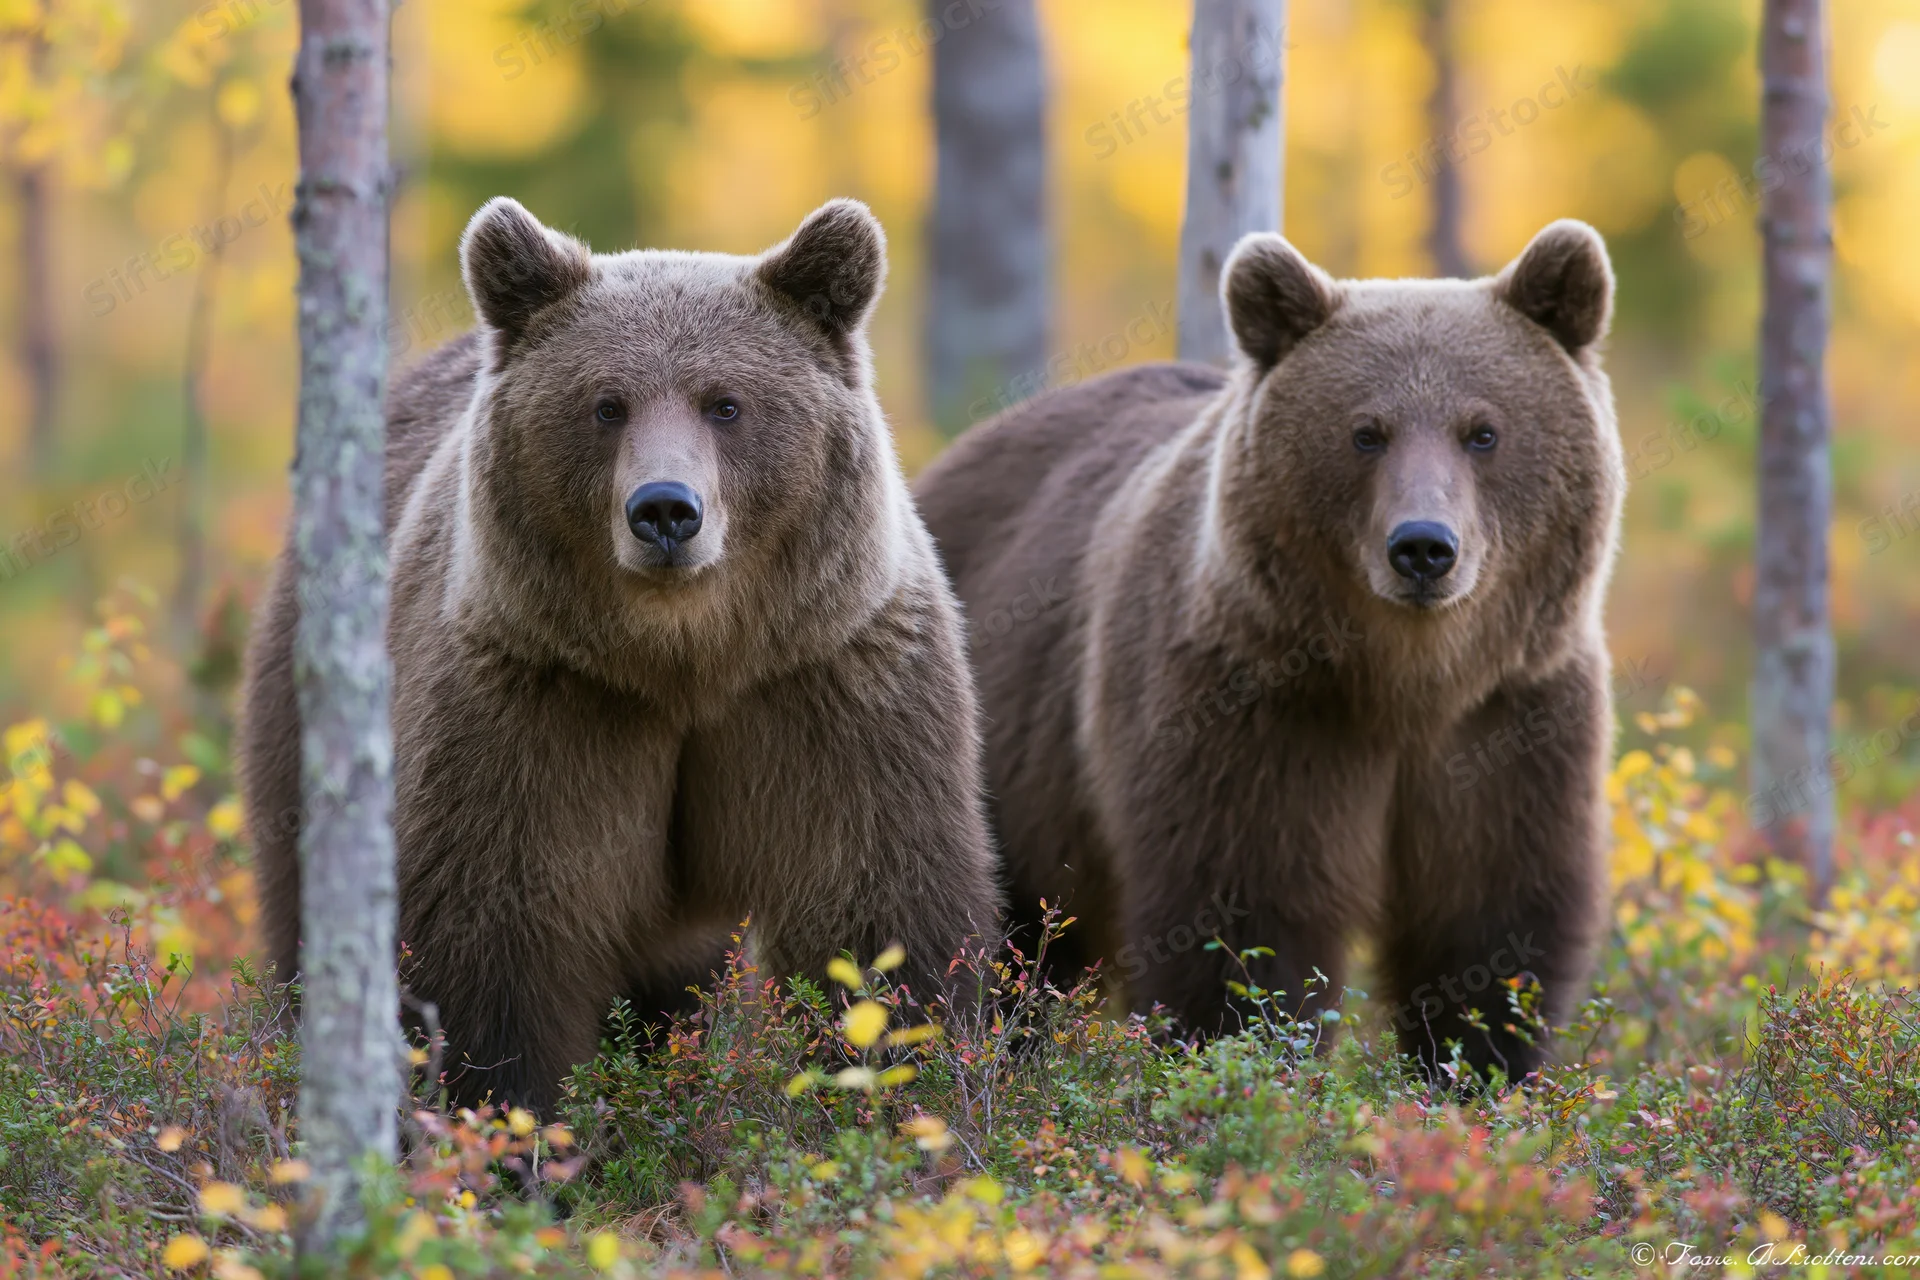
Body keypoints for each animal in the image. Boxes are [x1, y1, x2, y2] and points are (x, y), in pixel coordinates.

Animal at [240, 197, 1001, 1112]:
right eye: (607, 404)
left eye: (725, 403)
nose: (666, 509)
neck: (684, 660)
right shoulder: (539, 700)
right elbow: (496, 940)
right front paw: (509, 1115)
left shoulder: (829, 683)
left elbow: (875, 910)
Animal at [914, 220, 1623, 1082]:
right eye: (1365, 431)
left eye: (1483, 431)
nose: (1423, 547)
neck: (1405, 684)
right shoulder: (1255, 708)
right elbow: (1247, 918)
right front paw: (1249, 1060)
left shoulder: (1513, 719)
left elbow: (1492, 927)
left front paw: (1481, 1073)